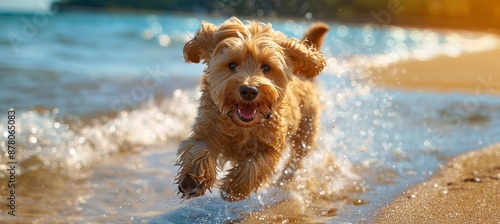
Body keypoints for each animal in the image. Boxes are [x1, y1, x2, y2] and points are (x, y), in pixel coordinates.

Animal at [175, 16, 328, 202]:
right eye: (232, 65)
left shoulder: (270, 146)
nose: (249, 90)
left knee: (295, 162)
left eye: (266, 67)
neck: (241, 126)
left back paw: (282, 182)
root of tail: (303, 78)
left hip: (305, 133)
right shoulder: (206, 129)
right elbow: (198, 150)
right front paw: (193, 179)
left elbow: (254, 166)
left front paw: (234, 189)